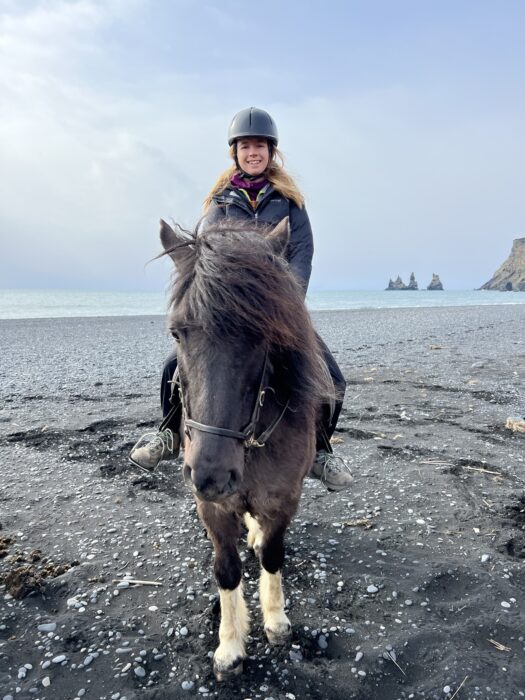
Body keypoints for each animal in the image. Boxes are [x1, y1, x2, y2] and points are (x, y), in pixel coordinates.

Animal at [160, 217, 332, 680]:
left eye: (264, 335)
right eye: (177, 332)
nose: (211, 475)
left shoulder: (284, 499)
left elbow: (272, 555)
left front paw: (275, 620)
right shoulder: (212, 507)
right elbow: (226, 569)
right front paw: (231, 644)